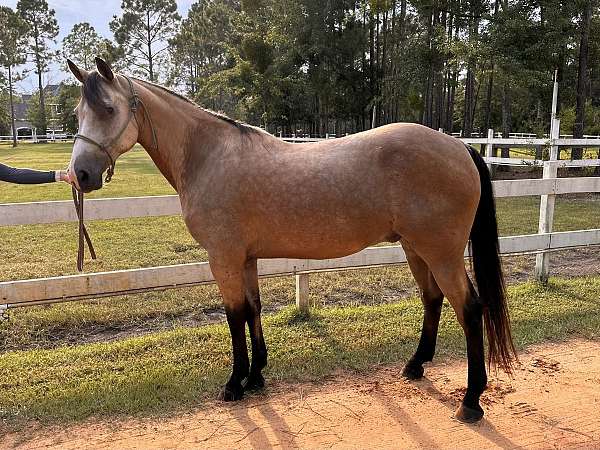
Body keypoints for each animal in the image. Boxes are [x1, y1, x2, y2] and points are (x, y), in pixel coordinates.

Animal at [64, 58, 516, 424]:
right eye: (77, 113)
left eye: (108, 109)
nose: (81, 175)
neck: (208, 156)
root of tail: (459, 146)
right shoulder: (245, 259)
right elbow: (253, 309)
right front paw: (256, 376)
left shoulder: (223, 259)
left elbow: (233, 316)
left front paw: (234, 383)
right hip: (414, 247)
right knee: (432, 299)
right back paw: (415, 365)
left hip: (441, 252)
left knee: (469, 308)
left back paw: (472, 401)